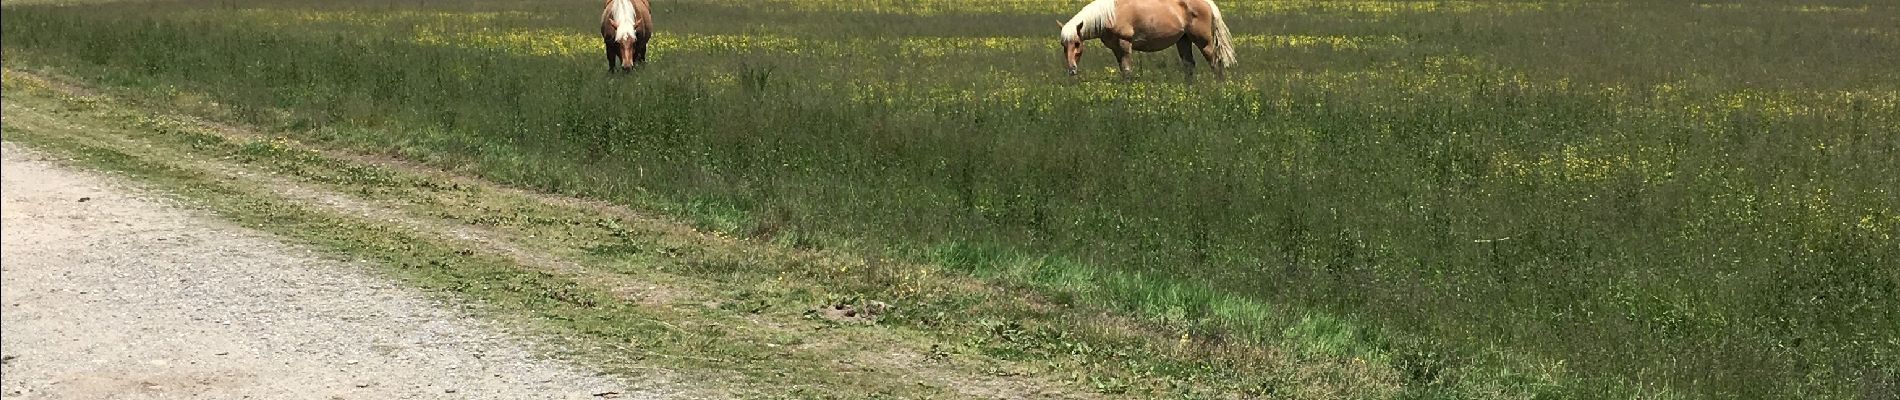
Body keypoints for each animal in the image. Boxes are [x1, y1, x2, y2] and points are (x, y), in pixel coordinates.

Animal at [1064, 0, 1238, 80]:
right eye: (1063, 46)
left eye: (1077, 44)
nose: (1071, 70)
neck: (1110, 15)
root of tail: (1206, 3)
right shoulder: (1115, 48)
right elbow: (1122, 69)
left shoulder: (1124, 44)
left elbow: (1127, 70)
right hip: (1183, 40)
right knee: (1189, 65)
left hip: (1203, 41)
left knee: (1215, 61)